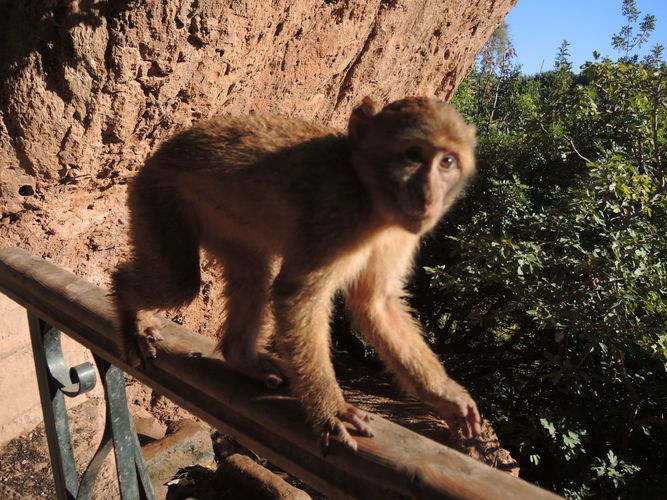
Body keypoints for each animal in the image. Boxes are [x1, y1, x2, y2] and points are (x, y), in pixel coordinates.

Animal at [112, 96, 481, 451]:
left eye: (447, 162)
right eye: (413, 155)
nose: (428, 196)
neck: (371, 197)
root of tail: (161, 150)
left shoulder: (400, 232)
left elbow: (376, 303)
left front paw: (446, 397)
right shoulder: (337, 213)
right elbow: (298, 295)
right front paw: (331, 410)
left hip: (220, 224)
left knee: (253, 275)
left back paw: (241, 357)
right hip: (158, 194)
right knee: (180, 283)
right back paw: (128, 304)